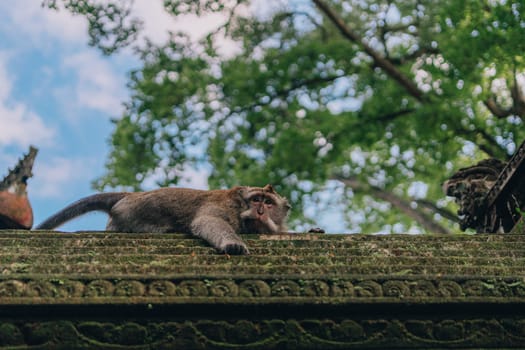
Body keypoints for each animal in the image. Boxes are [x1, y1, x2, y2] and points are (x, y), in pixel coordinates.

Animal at [35, 185, 290, 256]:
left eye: (268, 202)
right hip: (131, 214)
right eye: (256, 199)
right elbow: (208, 221)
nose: (260, 210)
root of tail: (130, 195)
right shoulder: (226, 208)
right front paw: (233, 244)